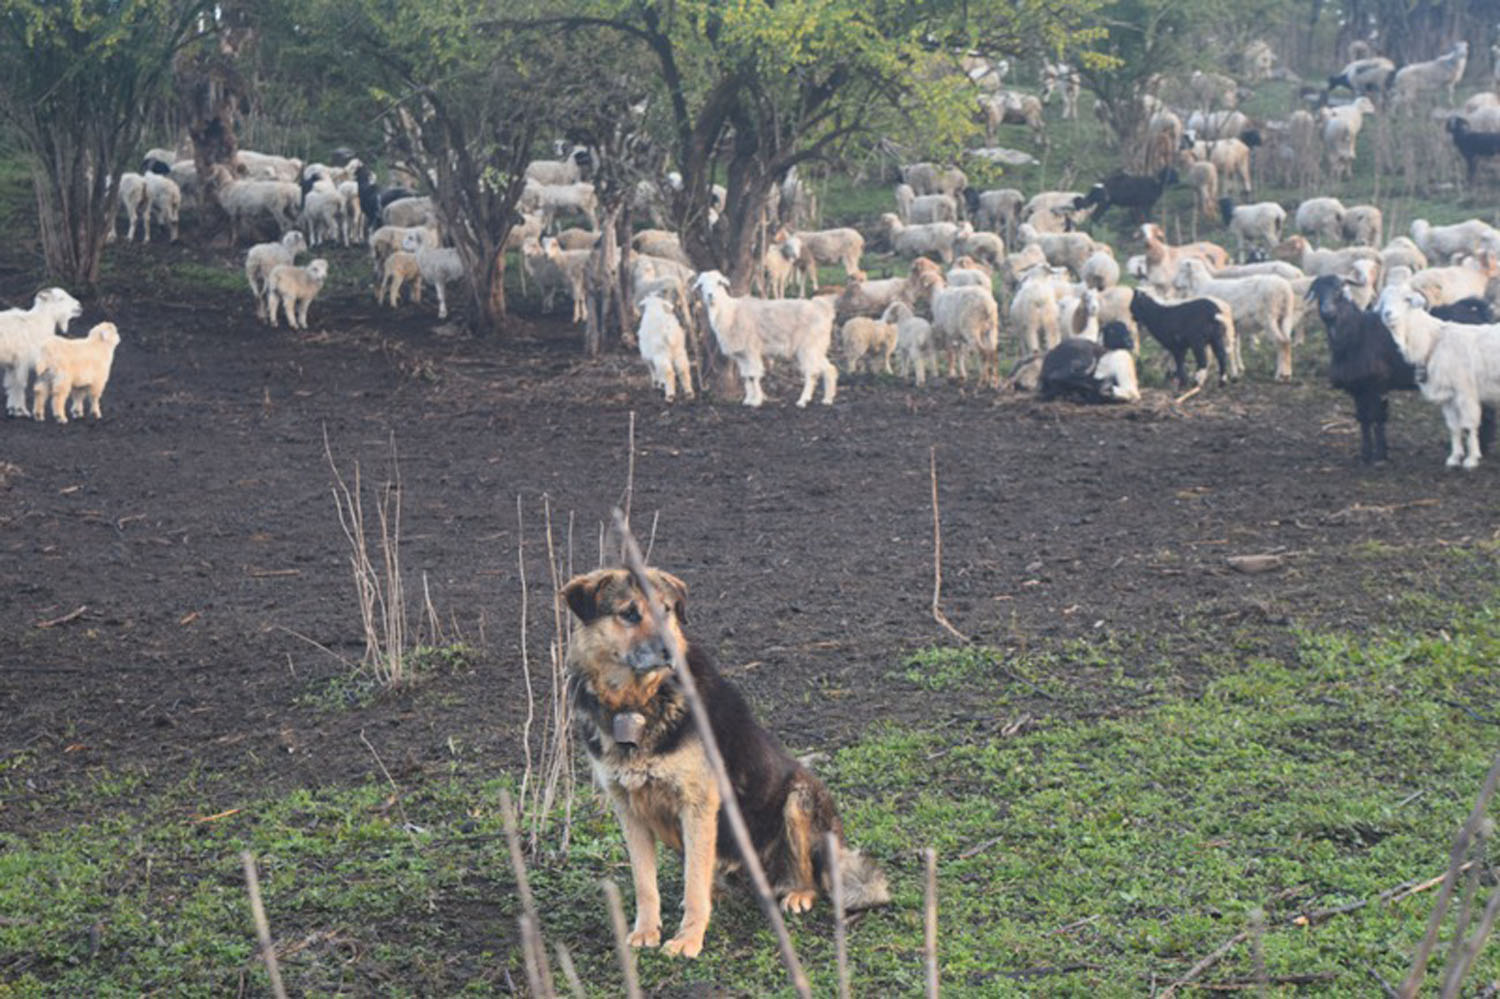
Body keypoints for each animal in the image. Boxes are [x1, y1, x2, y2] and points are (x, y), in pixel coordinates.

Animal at [0, 283, 82, 417]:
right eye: (60, 298)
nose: (79, 306)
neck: (38, 323)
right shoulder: (21, 362)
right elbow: (19, 384)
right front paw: (21, 410)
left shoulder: (11, 364)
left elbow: (11, 384)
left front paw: (12, 409)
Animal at [564, 564, 888, 954]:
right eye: (629, 613)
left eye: (667, 610)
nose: (669, 651)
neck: (636, 703)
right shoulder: (629, 809)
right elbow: (645, 883)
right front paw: (646, 931)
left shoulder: (699, 804)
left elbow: (693, 882)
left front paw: (688, 939)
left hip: (799, 797)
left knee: (807, 874)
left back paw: (797, 893)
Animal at [1170, 255, 1302, 379]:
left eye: (1182, 270)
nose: (1174, 284)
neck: (1201, 286)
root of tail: (1285, 289)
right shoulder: (1234, 325)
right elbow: (1235, 347)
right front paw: (1237, 368)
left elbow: (1213, 350)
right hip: (1284, 317)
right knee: (1287, 341)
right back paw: (1288, 373)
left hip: (1269, 317)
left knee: (1281, 343)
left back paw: (1281, 374)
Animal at [1374, 280, 1500, 468]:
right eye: (1383, 301)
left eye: (1407, 299)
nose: (1387, 314)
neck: (1433, 340)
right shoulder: (1448, 395)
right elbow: (1454, 427)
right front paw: (1454, 457)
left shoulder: (1465, 391)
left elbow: (1469, 425)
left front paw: (1471, 459)